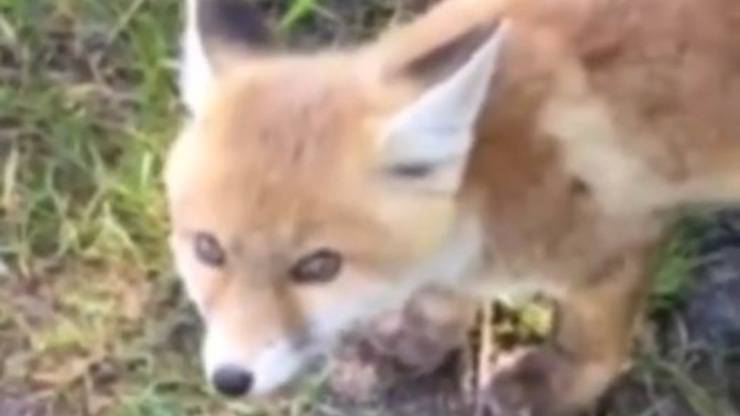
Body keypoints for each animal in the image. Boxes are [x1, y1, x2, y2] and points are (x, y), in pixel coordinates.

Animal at [164, 0, 740, 414]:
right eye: (209, 250)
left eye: (318, 266)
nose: (230, 380)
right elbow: (440, 301)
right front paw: (417, 337)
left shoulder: (619, 240)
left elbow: (588, 342)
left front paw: (555, 386)